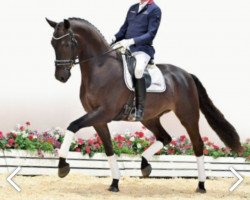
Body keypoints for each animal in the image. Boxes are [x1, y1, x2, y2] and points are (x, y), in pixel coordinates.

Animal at [46, 18, 242, 193]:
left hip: (188, 115)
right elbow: (108, 148)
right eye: (52, 44)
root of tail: (186, 74)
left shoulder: (104, 113)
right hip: (150, 118)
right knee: (165, 137)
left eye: (66, 43)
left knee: (198, 145)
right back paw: (145, 165)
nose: (60, 77)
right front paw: (115, 183)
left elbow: (73, 126)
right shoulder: (98, 118)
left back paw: (201, 186)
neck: (100, 68)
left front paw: (62, 166)